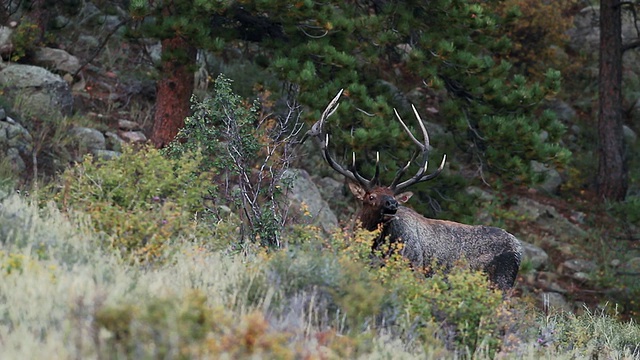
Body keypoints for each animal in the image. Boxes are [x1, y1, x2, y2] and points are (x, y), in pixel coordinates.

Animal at [312, 89, 524, 290]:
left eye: (393, 195)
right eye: (371, 196)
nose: (392, 204)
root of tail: (519, 249)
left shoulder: (413, 265)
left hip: (501, 281)